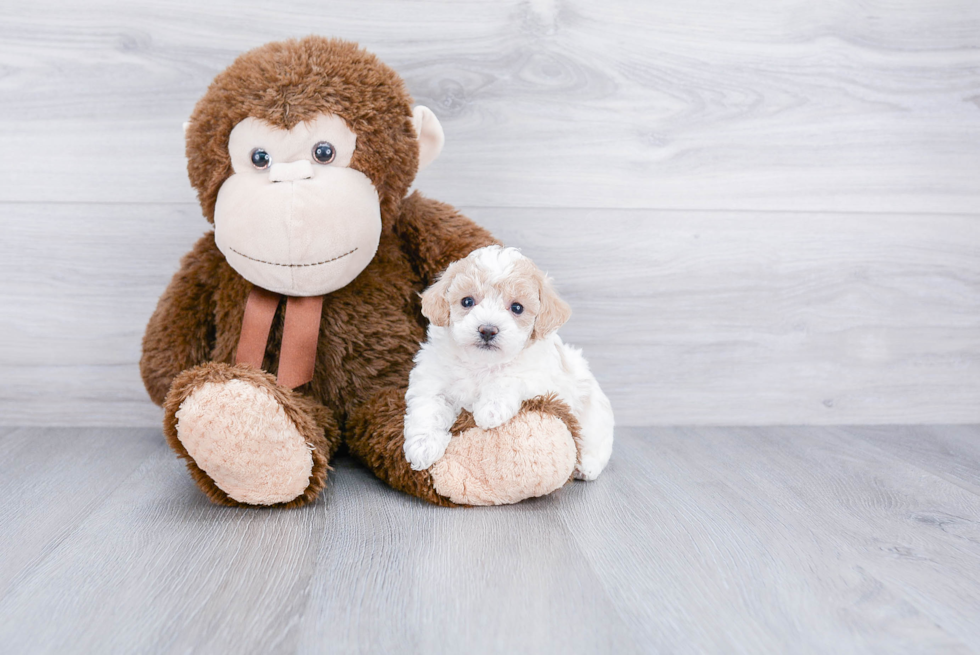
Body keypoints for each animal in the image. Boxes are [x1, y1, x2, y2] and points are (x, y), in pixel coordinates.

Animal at [400, 246, 612, 482]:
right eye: (467, 301)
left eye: (517, 307)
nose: (487, 330)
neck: (481, 363)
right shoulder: (431, 379)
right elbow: (428, 408)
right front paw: (423, 447)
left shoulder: (540, 378)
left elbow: (509, 378)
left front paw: (491, 408)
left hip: (593, 413)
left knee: (595, 441)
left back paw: (586, 466)